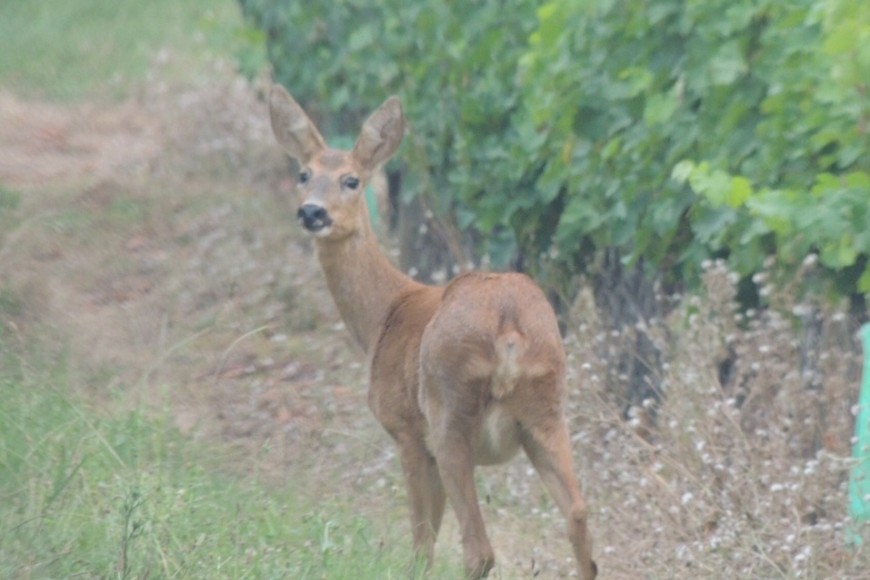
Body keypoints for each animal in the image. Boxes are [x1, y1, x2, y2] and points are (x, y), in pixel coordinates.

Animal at [270, 82, 600, 580]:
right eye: (304, 174)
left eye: (351, 180)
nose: (312, 213)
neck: (385, 314)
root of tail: (508, 327)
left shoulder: (407, 430)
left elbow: (422, 540)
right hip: (546, 408)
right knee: (579, 520)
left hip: (449, 410)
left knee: (479, 549)